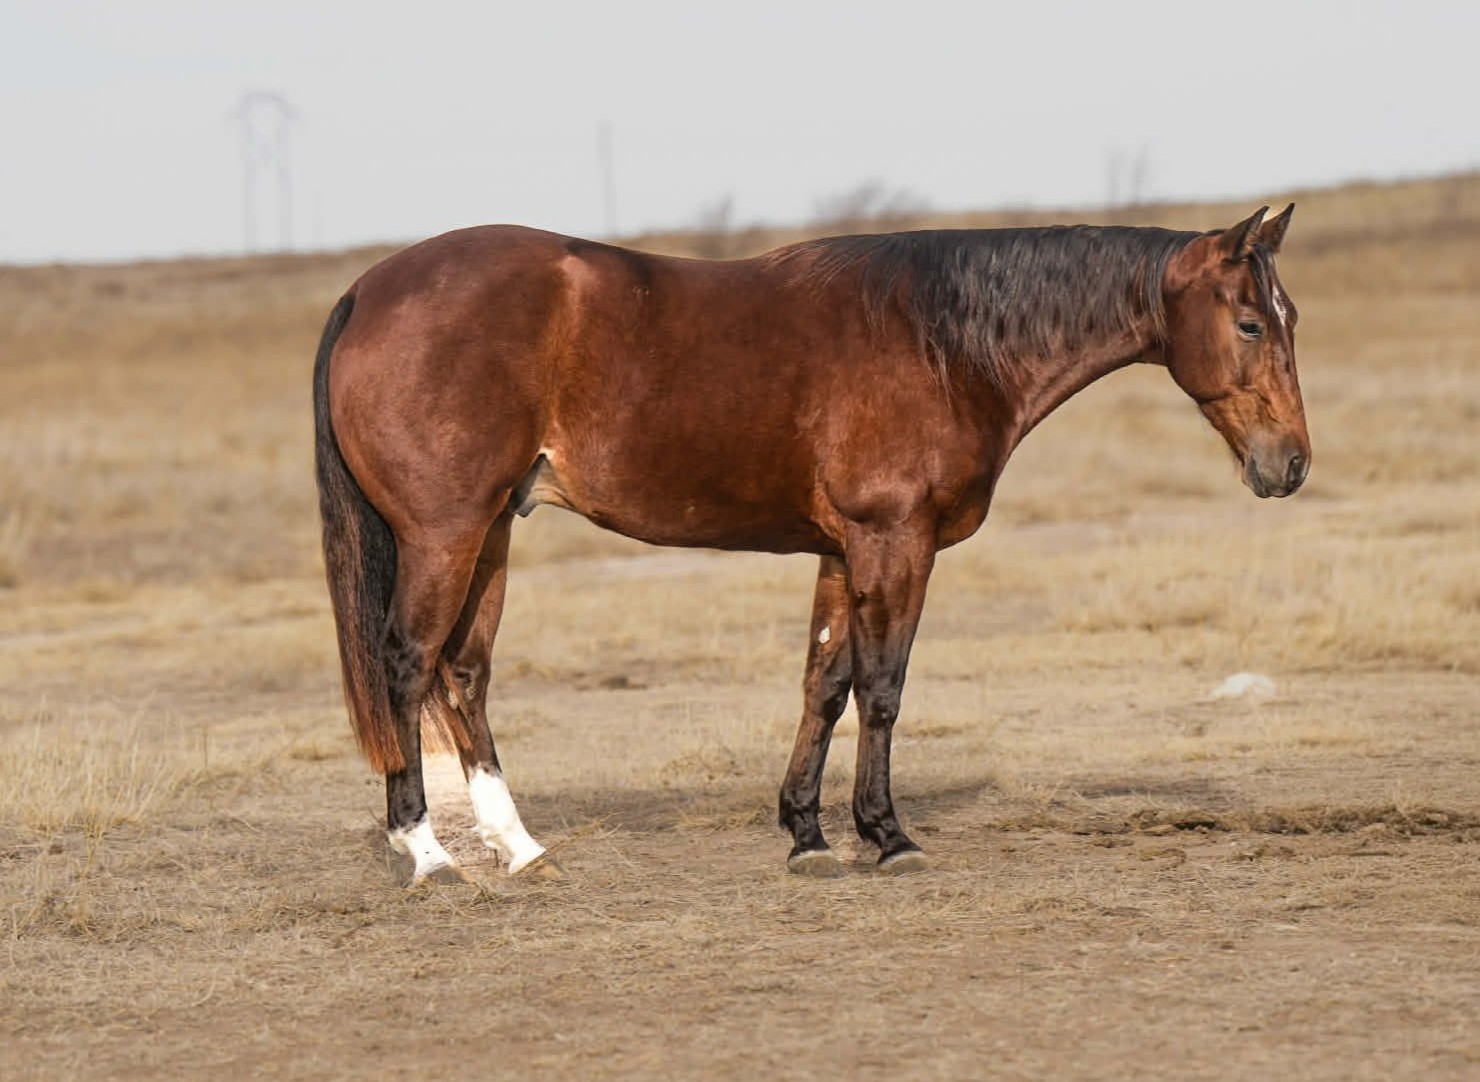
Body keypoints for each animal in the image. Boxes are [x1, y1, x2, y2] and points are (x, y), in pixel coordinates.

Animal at [312, 204, 1308, 883]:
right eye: (1252, 323)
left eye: (1290, 320)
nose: (1290, 463)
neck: (945, 341)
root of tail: (367, 291)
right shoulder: (895, 543)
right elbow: (882, 688)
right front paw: (888, 835)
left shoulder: (841, 552)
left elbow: (823, 685)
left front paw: (807, 833)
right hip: (445, 535)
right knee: (407, 663)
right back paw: (427, 853)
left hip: (489, 536)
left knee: (463, 674)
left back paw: (520, 849)